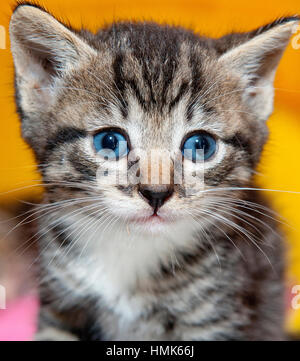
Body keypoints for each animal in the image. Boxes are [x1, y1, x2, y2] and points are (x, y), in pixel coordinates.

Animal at [9, 1, 298, 338]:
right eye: (110, 141)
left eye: (200, 145)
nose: (156, 193)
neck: (129, 248)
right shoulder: (62, 304)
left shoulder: (214, 316)